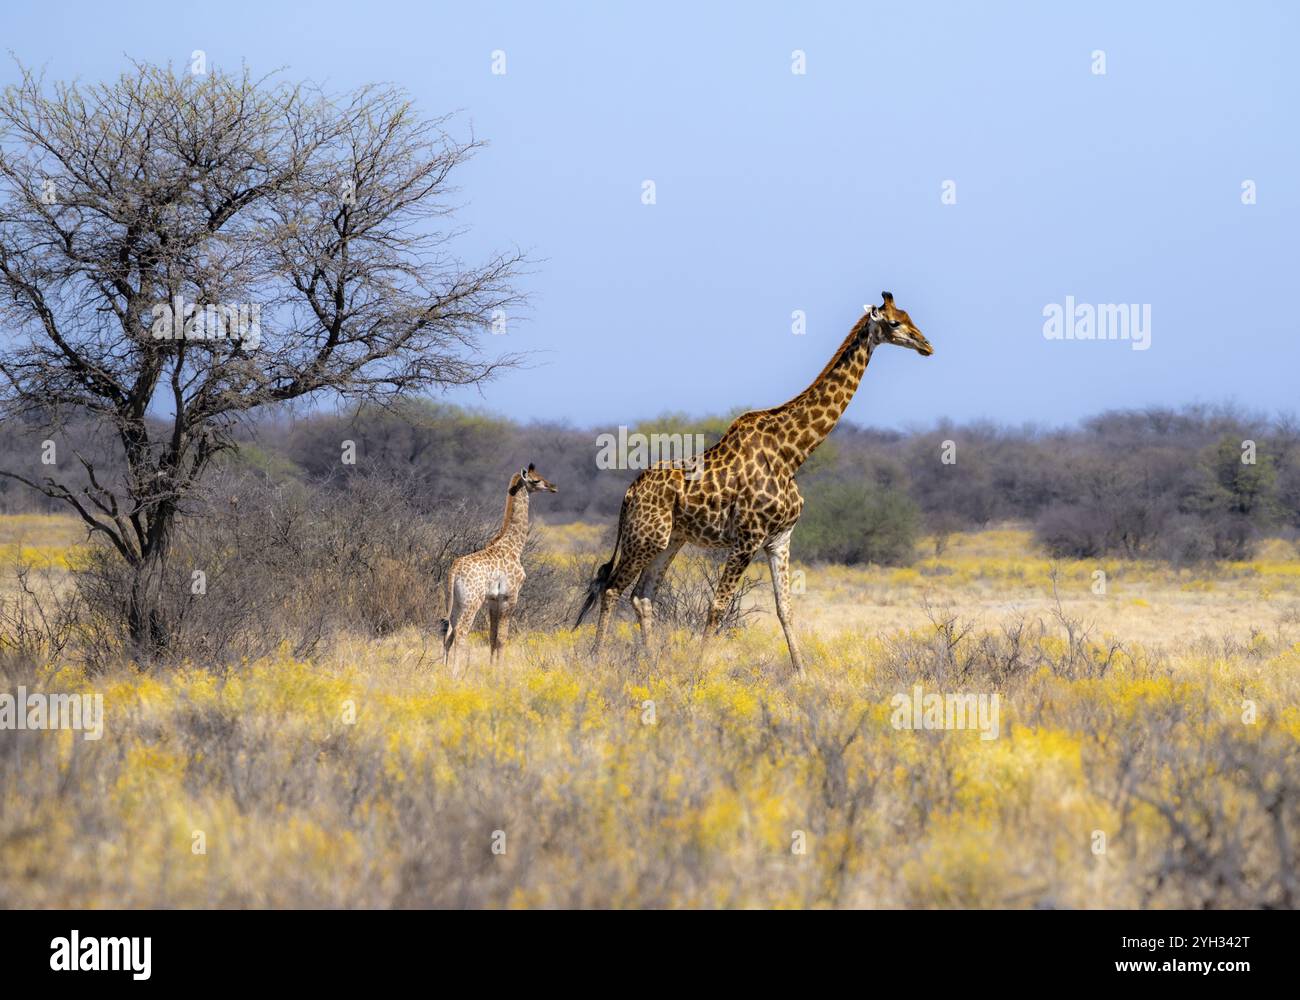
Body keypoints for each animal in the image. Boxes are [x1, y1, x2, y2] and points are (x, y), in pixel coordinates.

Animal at [439, 462, 556, 671]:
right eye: (536, 480)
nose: (553, 487)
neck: (514, 546)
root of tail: (454, 570)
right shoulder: (510, 596)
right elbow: (502, 638)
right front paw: (499, 671)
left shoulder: (493, 600)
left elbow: (492, 637)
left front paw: (492, 668)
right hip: (472, 601)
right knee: (460, 632)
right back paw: (455, 672)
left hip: (456, 601)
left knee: (447, 631)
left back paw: (443, 670)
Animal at [577, 292, 935, 676]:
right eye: (895, 322)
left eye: (909, 316)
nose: (926, 345)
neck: (792, 453)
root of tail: (629, 492)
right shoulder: (747, 538)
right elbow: (718, 606)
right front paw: (698, 672)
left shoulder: (780, 539)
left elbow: (785, 608)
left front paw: (802, 674)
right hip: (645, 536)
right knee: (612, 588)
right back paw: (597, 659)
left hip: (670, 539)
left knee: (642, 596)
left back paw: (653, 663)